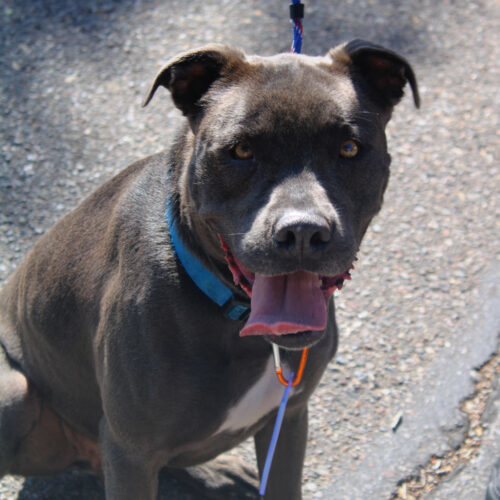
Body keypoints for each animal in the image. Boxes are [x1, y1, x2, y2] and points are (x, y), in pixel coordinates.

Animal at [0, 41, 418, 498]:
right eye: (241, 151)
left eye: (349, 149)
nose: (302, 232)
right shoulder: (130, 451)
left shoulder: (289, 419)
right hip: (15, 394)